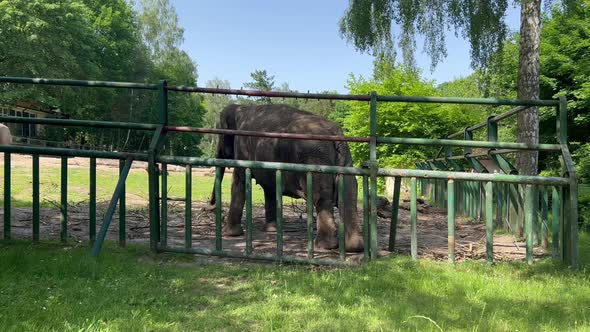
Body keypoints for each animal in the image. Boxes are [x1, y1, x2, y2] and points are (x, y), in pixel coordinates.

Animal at [208, 104, 366, 252]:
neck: (242, 107)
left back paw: (324, 246)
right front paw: (272, 230)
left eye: (220, 135)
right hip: (345, 160)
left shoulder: (241, 149)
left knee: (321, 197)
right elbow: (270, 188)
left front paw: (229, 234)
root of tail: (336, 136)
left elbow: (239, 181)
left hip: (315, 158)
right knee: (348, 194)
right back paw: (354, 247)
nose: (211, 204)